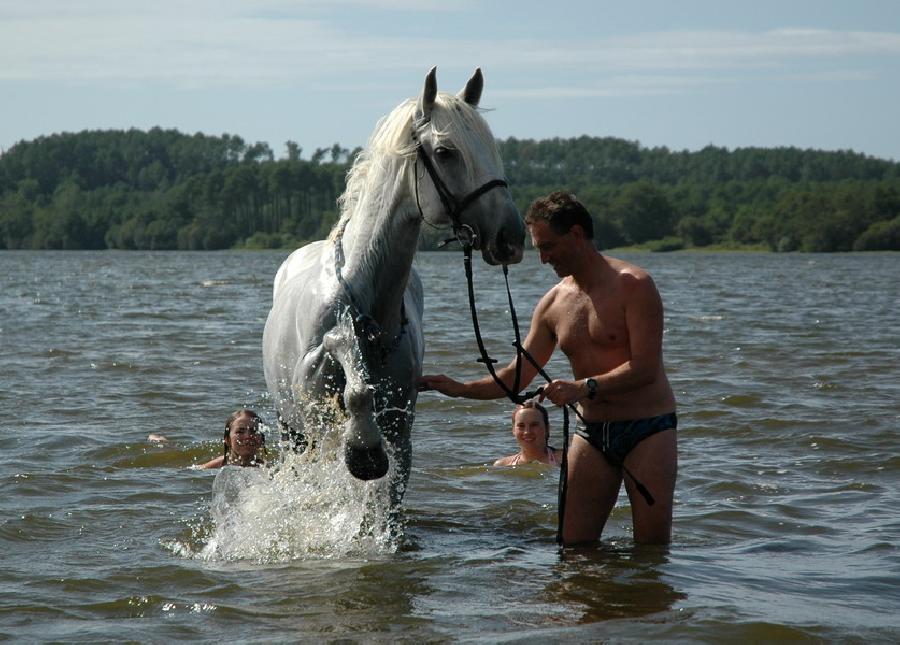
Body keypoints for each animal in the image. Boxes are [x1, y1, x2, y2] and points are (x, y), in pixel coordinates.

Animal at [264, 66, 524, 504]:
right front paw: (363, 448)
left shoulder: (401, 435)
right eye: (446, 152)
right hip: (294, 433)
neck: (364, 296)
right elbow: (349, 369)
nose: (512, 237)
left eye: (491, 147)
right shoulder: (310, 387)